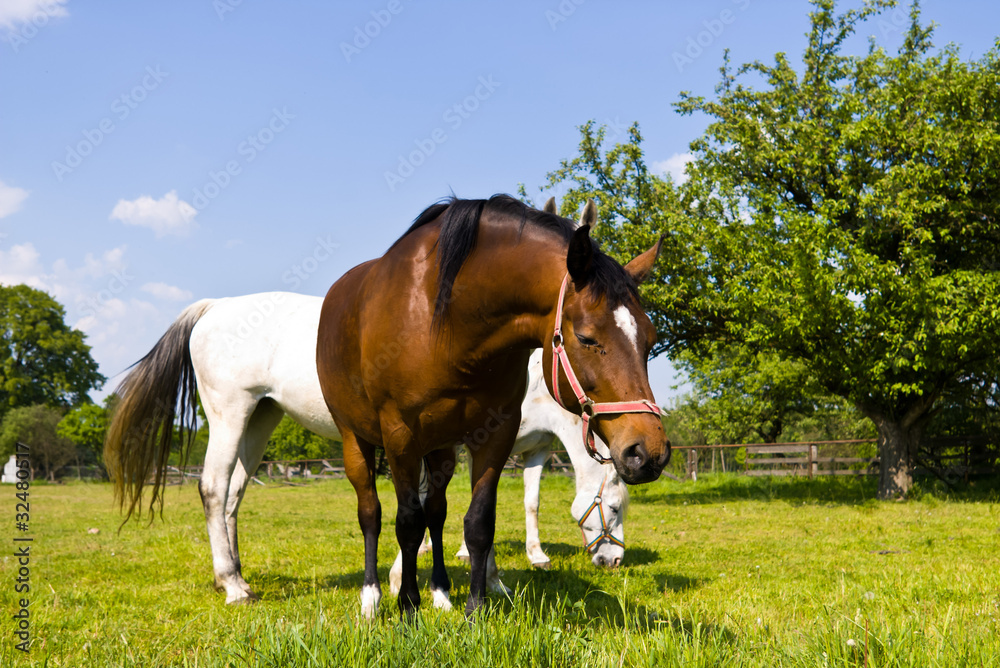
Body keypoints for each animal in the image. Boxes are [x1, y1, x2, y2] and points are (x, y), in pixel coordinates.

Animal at [313, 194, 668, 617]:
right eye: (585, 337)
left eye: (650, 338)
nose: (649, 453)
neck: (447, 323)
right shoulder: (400, 435)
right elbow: (407, 522)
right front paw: (407, 604)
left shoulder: (497, 435)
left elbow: (481, 520)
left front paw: (476, 606)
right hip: (357, 438)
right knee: (372, 513)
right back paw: (372, 596)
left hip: (441, 446)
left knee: (436, 511)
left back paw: (441, 591)